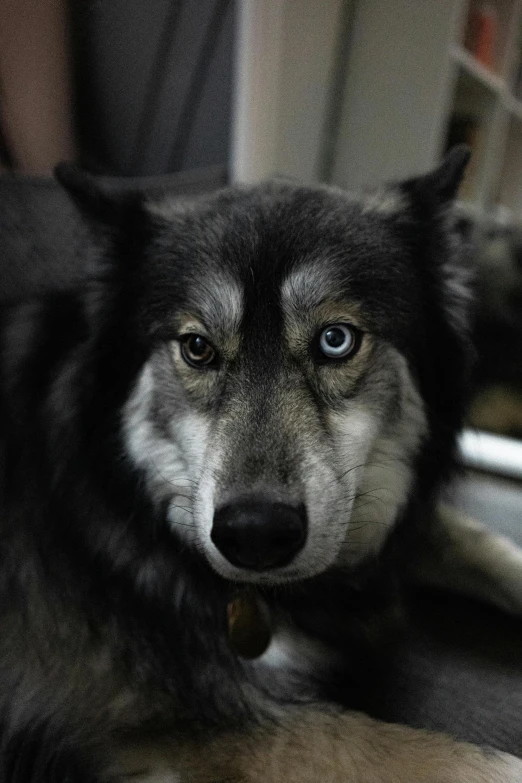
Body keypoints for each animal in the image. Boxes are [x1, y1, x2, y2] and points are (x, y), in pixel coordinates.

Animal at [1, 144, 520, 780]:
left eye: (336, 340)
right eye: (197, 348)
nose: (255, 534)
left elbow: (489, 546)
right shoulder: (217, 723)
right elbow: (471, 760)